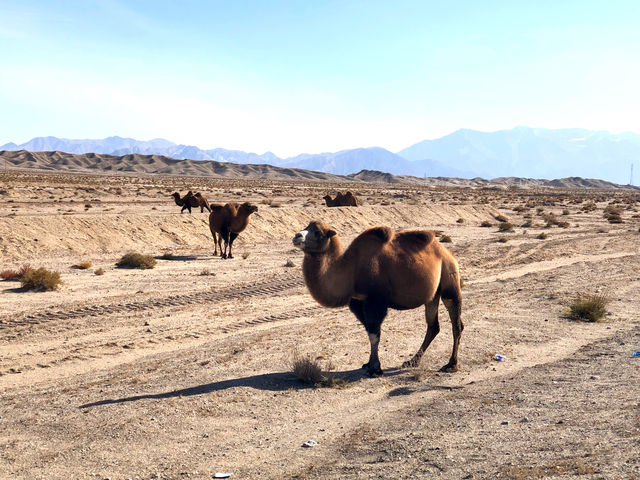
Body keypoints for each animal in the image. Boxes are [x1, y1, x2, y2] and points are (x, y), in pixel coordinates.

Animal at [292, 222, 462, 378]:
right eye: (306, 227)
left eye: (318, 233)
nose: (297, 236)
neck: (351, 269)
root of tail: (448, 253)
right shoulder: (357, 302)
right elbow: (369, 331)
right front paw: (368, 364)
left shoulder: (375, 300)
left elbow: (374, 335)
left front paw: (375, 368)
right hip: (433, 295)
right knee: (433, 326)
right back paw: (412, 361)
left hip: (450, 281)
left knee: (456, 324)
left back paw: (451, 365)